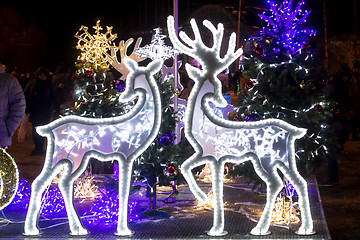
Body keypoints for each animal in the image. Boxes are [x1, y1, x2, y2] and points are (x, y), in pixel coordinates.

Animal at [23, 58, 162, 236]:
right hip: (67, 156)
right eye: (130, 79)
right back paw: (39, 229)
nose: (123, 97)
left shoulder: (125, 157)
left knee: (57, 183)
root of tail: (49, 129)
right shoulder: (125, 155)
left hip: (67, 158)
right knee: (51, 182)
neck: (137, 122)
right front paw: (123, 229)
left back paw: (69, 229)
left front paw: (123, 228)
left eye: (136, 79)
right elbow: (124, 189)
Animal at [167, 16, 314, 236]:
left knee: (276, 183)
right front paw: (207, 207)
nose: (218, 98)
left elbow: (211, 182)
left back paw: (261, 228)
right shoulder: (205, 154)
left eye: (216, 83)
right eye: (209, 82)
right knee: (298, 182)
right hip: (284, 157)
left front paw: (215, 225)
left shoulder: (216, 156)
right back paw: (304, 229)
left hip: (266, 157)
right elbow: (185, 167)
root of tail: (291, 131)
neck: (202, 130)